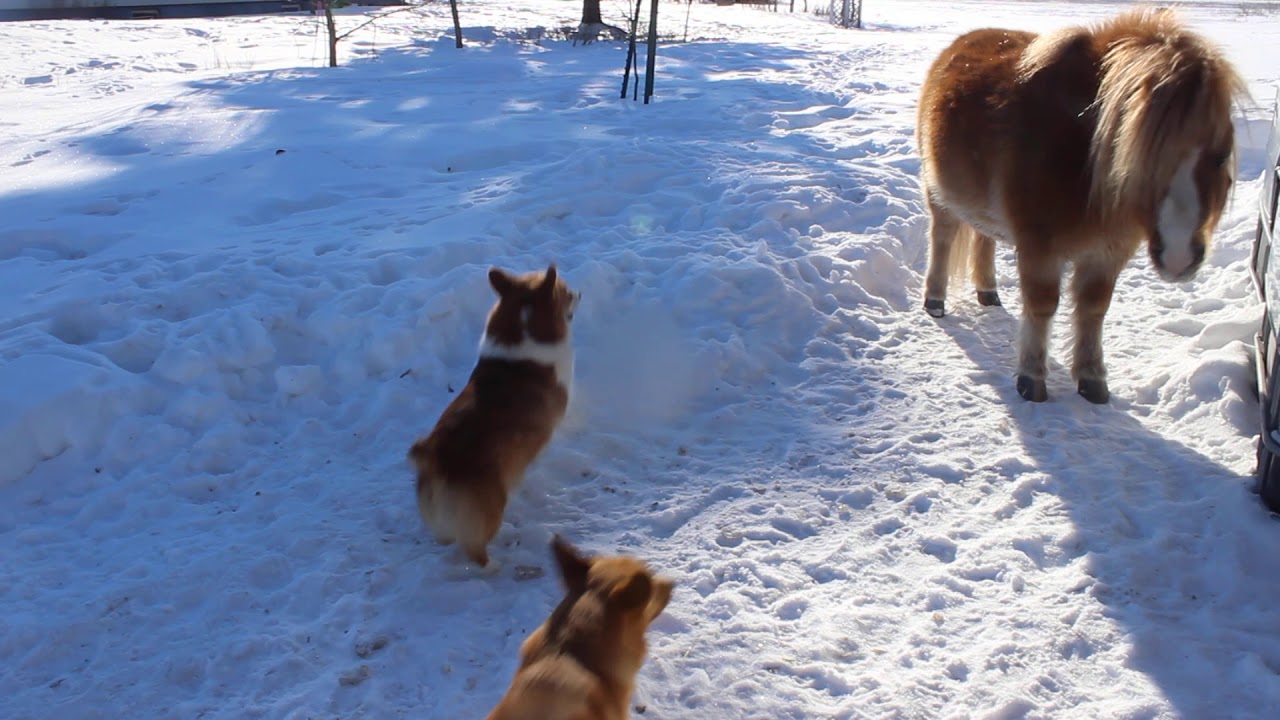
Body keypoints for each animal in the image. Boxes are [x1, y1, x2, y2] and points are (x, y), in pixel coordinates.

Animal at [917, 8, 1247, 403]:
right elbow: (1042, 304)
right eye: (1143, 158)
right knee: (943, 238)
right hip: (939, 195)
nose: (1179, 256)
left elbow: (1093, 309)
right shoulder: (1040, 247)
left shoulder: (1107, 253)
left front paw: (1092, 379)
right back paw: (935, 300)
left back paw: (988, 292)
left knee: (985, 238)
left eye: (1220, 156)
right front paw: (1031, 380)